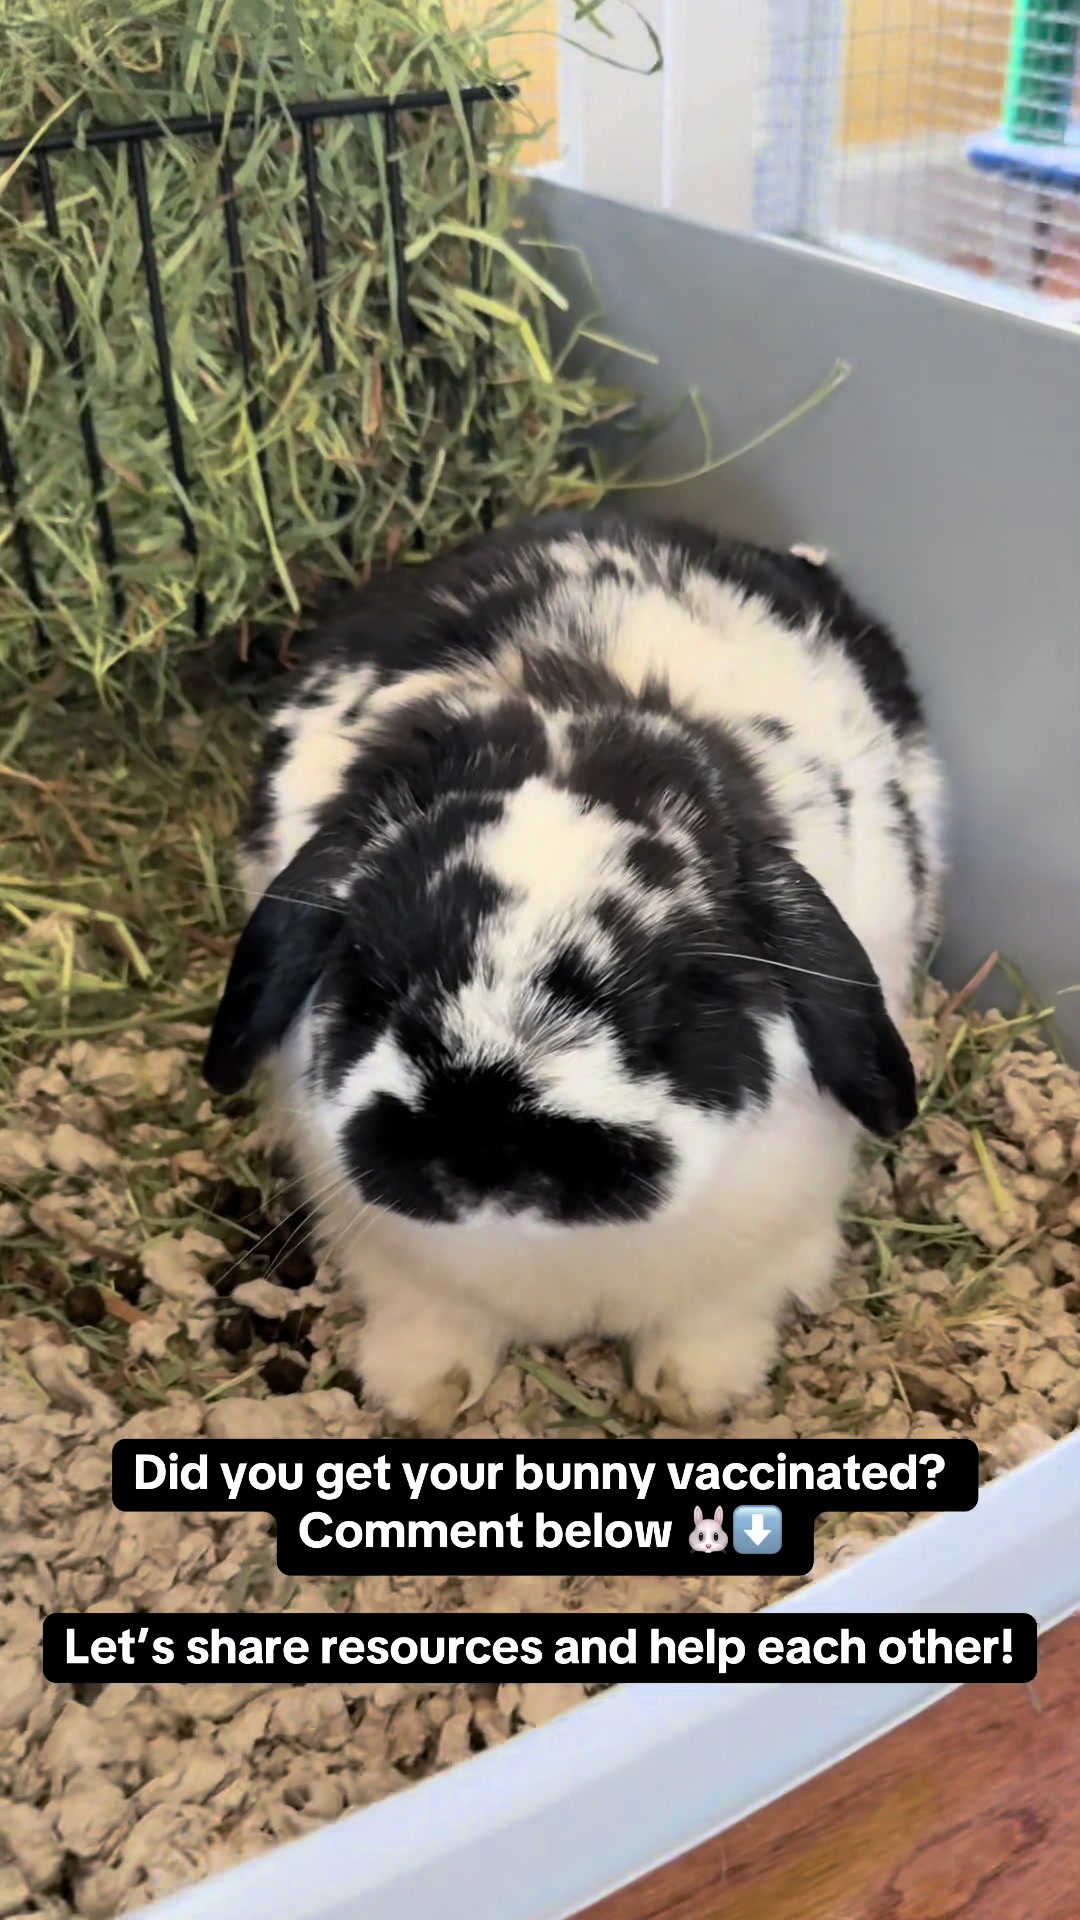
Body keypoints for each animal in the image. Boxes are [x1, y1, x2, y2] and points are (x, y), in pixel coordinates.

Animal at [204, 507, 945, 1435]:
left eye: (665, 1007)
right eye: (376, 980)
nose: (483, 1155)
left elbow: (715, 1322)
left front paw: (695, 1394)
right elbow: (430, 1321)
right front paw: (416, 1394)